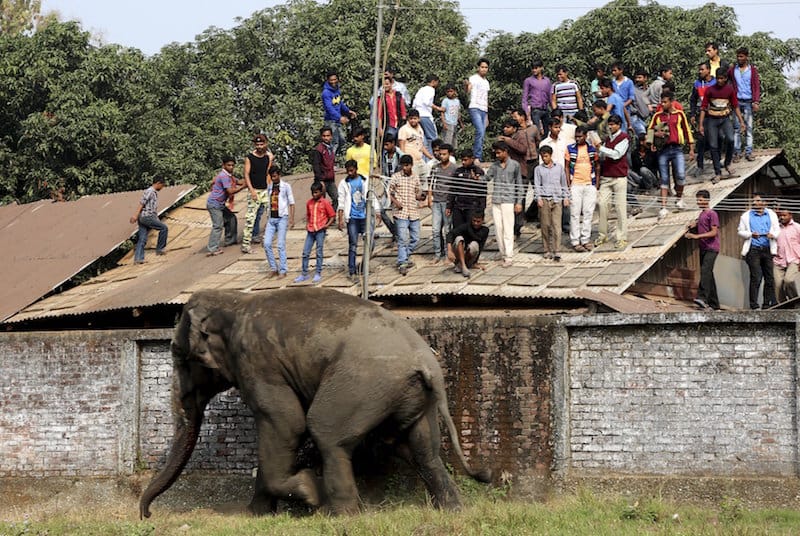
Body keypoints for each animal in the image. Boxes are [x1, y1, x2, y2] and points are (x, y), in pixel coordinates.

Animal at [139, 287, 490, 517]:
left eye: (179, 356)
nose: (147, 515)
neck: (235, 299)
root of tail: (426, 362)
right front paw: (257, 515)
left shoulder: (257, 362)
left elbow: (286, 424)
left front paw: (307, 492)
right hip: (409, 394)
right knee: (420, 449)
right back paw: (453, 510)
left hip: (362, 382)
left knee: (326, 431)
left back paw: (341, 514)